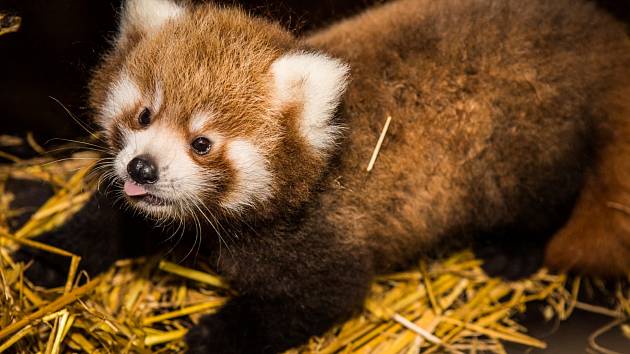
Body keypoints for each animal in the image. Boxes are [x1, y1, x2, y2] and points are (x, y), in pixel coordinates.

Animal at [13, 0, 630, 352]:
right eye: (144, 115)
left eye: (202, 144)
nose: (142, 166)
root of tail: (600, 35)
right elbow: (112, 219)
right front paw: (52, 256)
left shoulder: (325, 236)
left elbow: (326, 294)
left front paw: (215, 334)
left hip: (530, 147)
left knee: (546, 198)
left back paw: (512, 251)